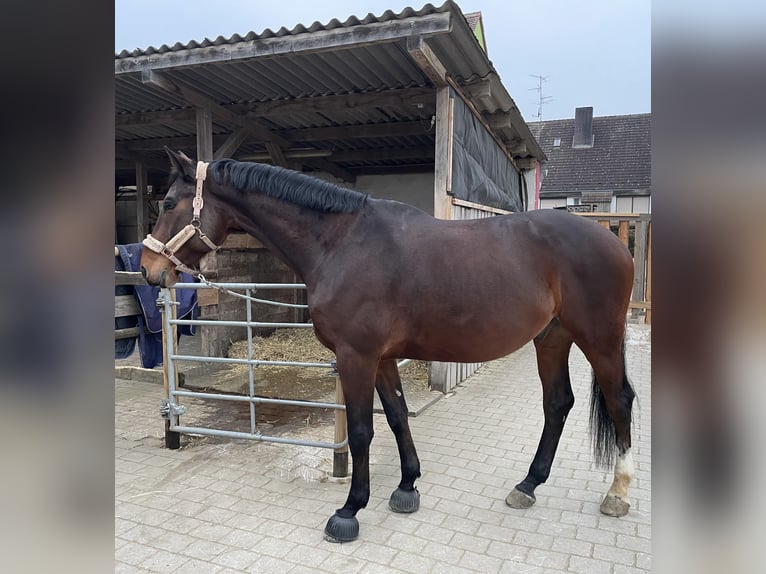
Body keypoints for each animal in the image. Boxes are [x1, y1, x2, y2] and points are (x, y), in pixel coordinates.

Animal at [140, 148, 637, 543]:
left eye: (167, 202)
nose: (147, 269)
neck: (342, 243)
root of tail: (614, 241)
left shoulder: (356, 357)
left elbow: (362, 431)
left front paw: (349, 510)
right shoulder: (382, 358)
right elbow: (397, 417)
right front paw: (406, 487)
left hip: (599, 339)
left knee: (619, 401)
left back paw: (616, 493)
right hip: (552, 338)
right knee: (558, 403)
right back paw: (528, 485)